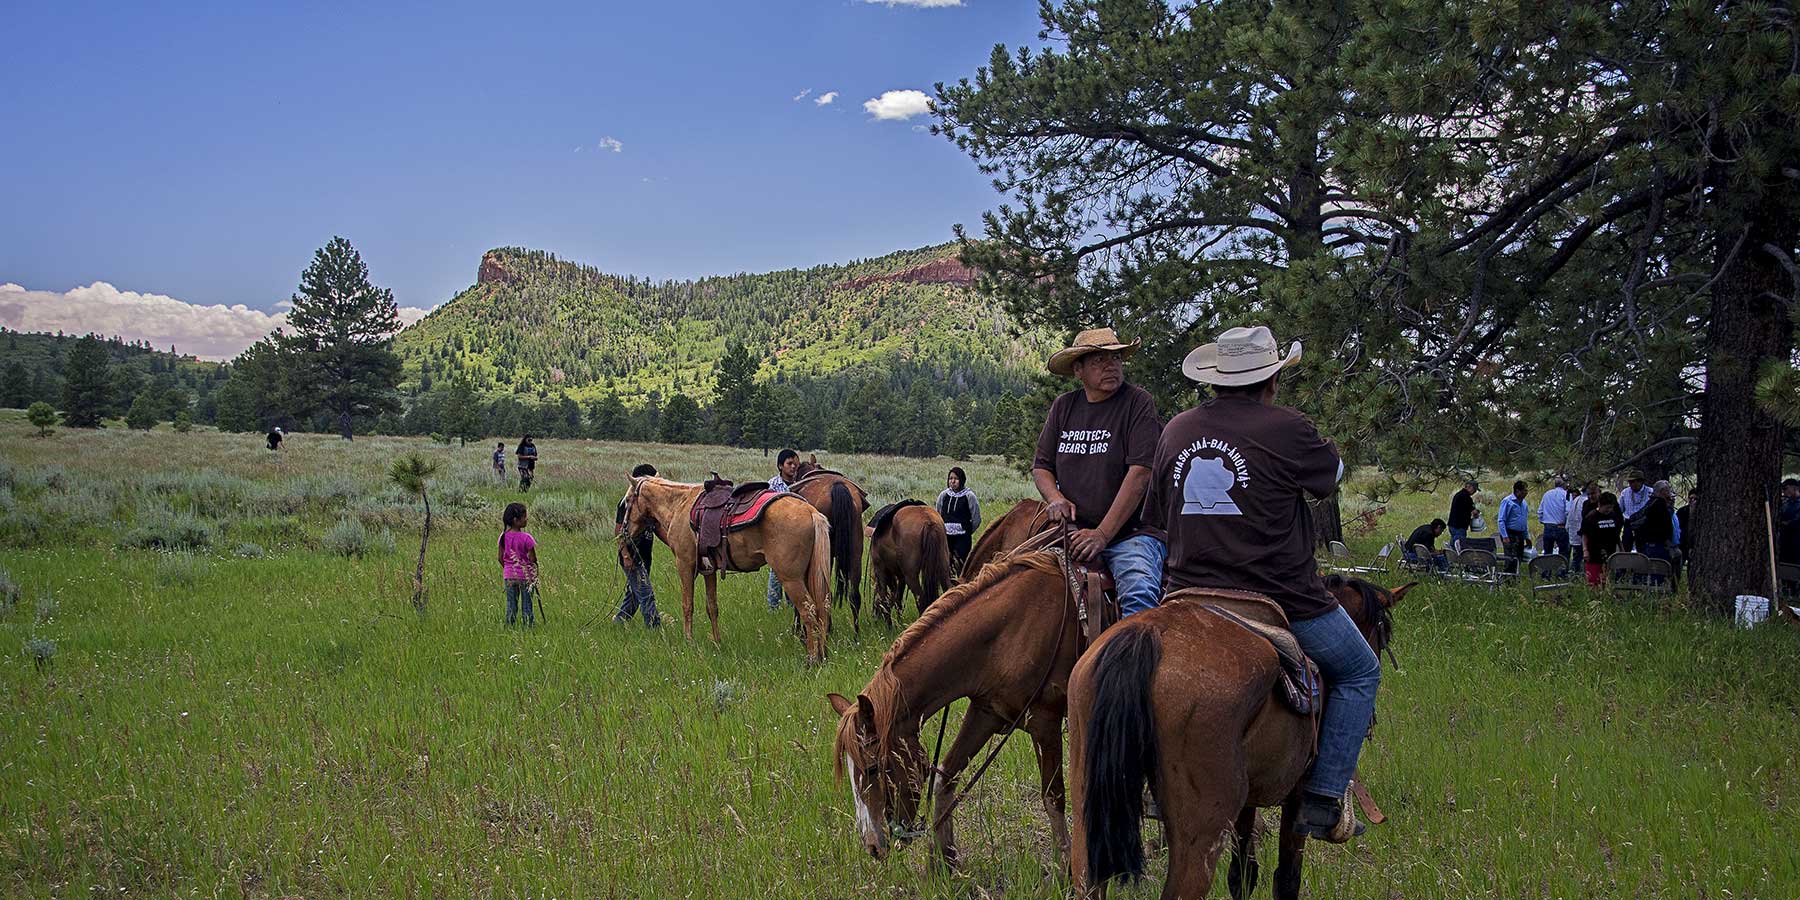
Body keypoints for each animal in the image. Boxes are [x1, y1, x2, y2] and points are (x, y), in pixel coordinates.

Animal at [619, 478, 835, 662]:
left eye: (628, 500)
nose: (624, 532)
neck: (680, 504)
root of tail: (811, 512)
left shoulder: (685, 565)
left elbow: (687, 605)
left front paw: (688, 641)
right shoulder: (709, 570)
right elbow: (712, 607)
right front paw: (717, 642)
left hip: (791, 579)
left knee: (808, 611)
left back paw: (811, 658)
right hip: (808, 576)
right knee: (822, 609)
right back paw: (822, 655)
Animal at [828, 550, 1080, 867]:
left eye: (873, 768)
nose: (872, 846)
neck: (1009, 631)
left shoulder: (1045, 721)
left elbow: (1053, 796)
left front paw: (1068, 868)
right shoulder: (986, 713)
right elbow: (946, 776)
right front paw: (943, 861)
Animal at [1058, 576, 1411, 900]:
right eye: (1383, 635)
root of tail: (1150, 634)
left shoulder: (1247, 804)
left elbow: (1242, 875)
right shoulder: (1298, 799)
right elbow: (1287, 879)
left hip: (1090, 815)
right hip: (1201, 835)